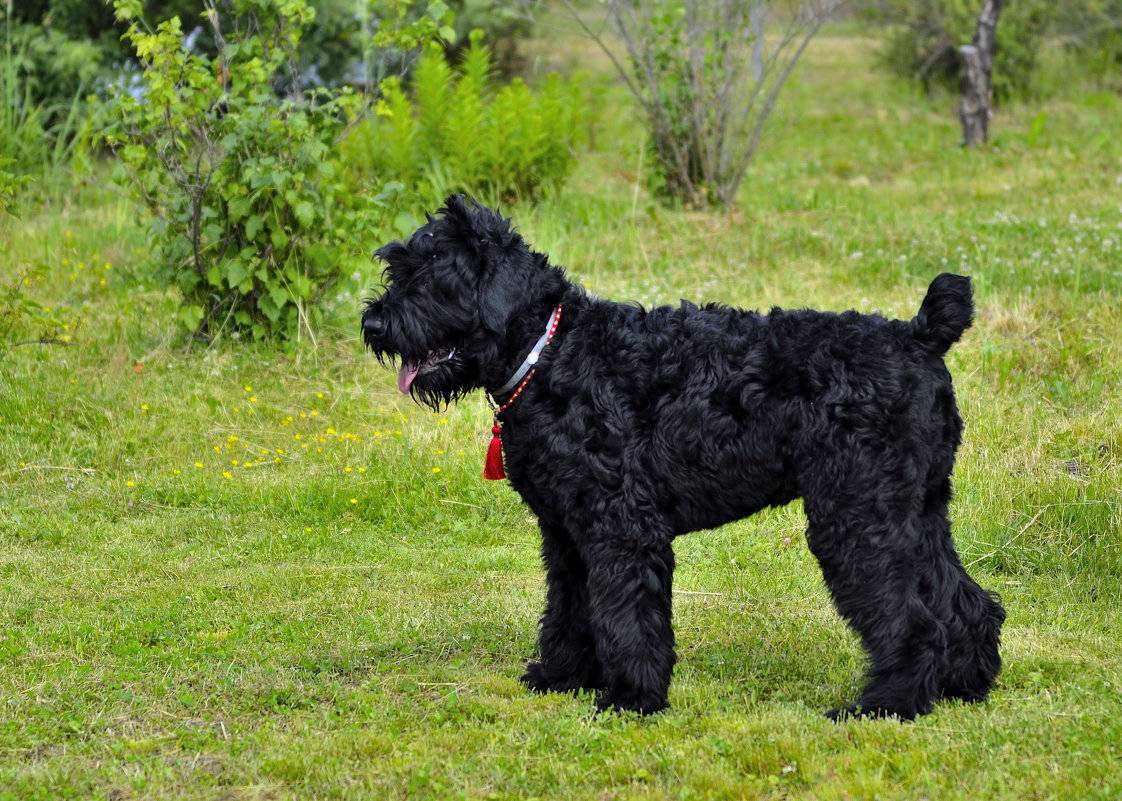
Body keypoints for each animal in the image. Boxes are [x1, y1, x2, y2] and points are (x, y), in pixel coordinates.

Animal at [363, 192, 1005, 717]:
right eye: (397, 267)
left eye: (432, 275)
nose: (373, 323)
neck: (552, 352)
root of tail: (918, 336)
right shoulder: (567, 532)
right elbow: (570, 607)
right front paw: (561, 677)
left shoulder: (621, 526)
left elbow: (624, 616)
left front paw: (630, 698)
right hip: (918, 510)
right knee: (965, 600)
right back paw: (963, 685)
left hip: (857, 516)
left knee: (910, 617)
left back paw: (886, 704)